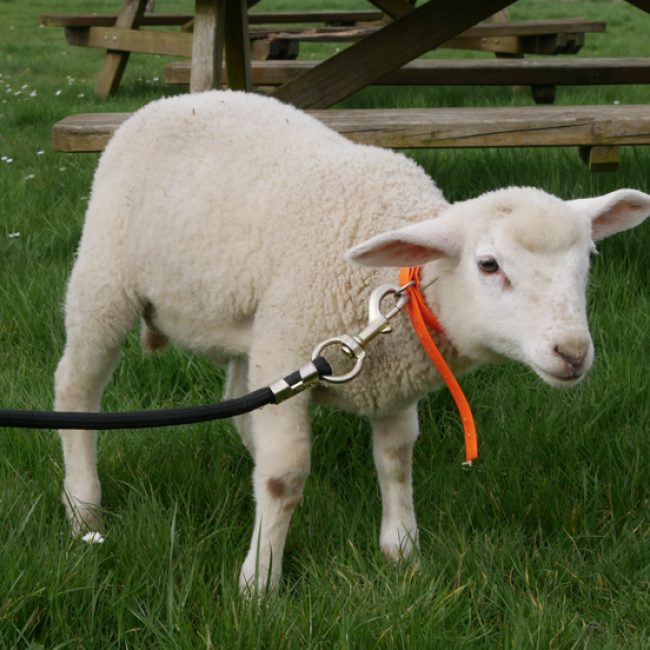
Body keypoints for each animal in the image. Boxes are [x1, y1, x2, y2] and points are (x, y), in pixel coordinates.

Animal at [54, 89, 650, 592]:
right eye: (488, 265)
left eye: (589, 258)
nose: (572, 353)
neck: (390, 292)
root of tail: (177, 98)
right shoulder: (292, 345)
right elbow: (284, 478)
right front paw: (259, 583)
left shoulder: (388, 380)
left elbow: (396, 458)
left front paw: (401, 549)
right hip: (105, 280)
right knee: (75, 387)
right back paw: (83, 505)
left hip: (256, 323)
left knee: (239, 399)